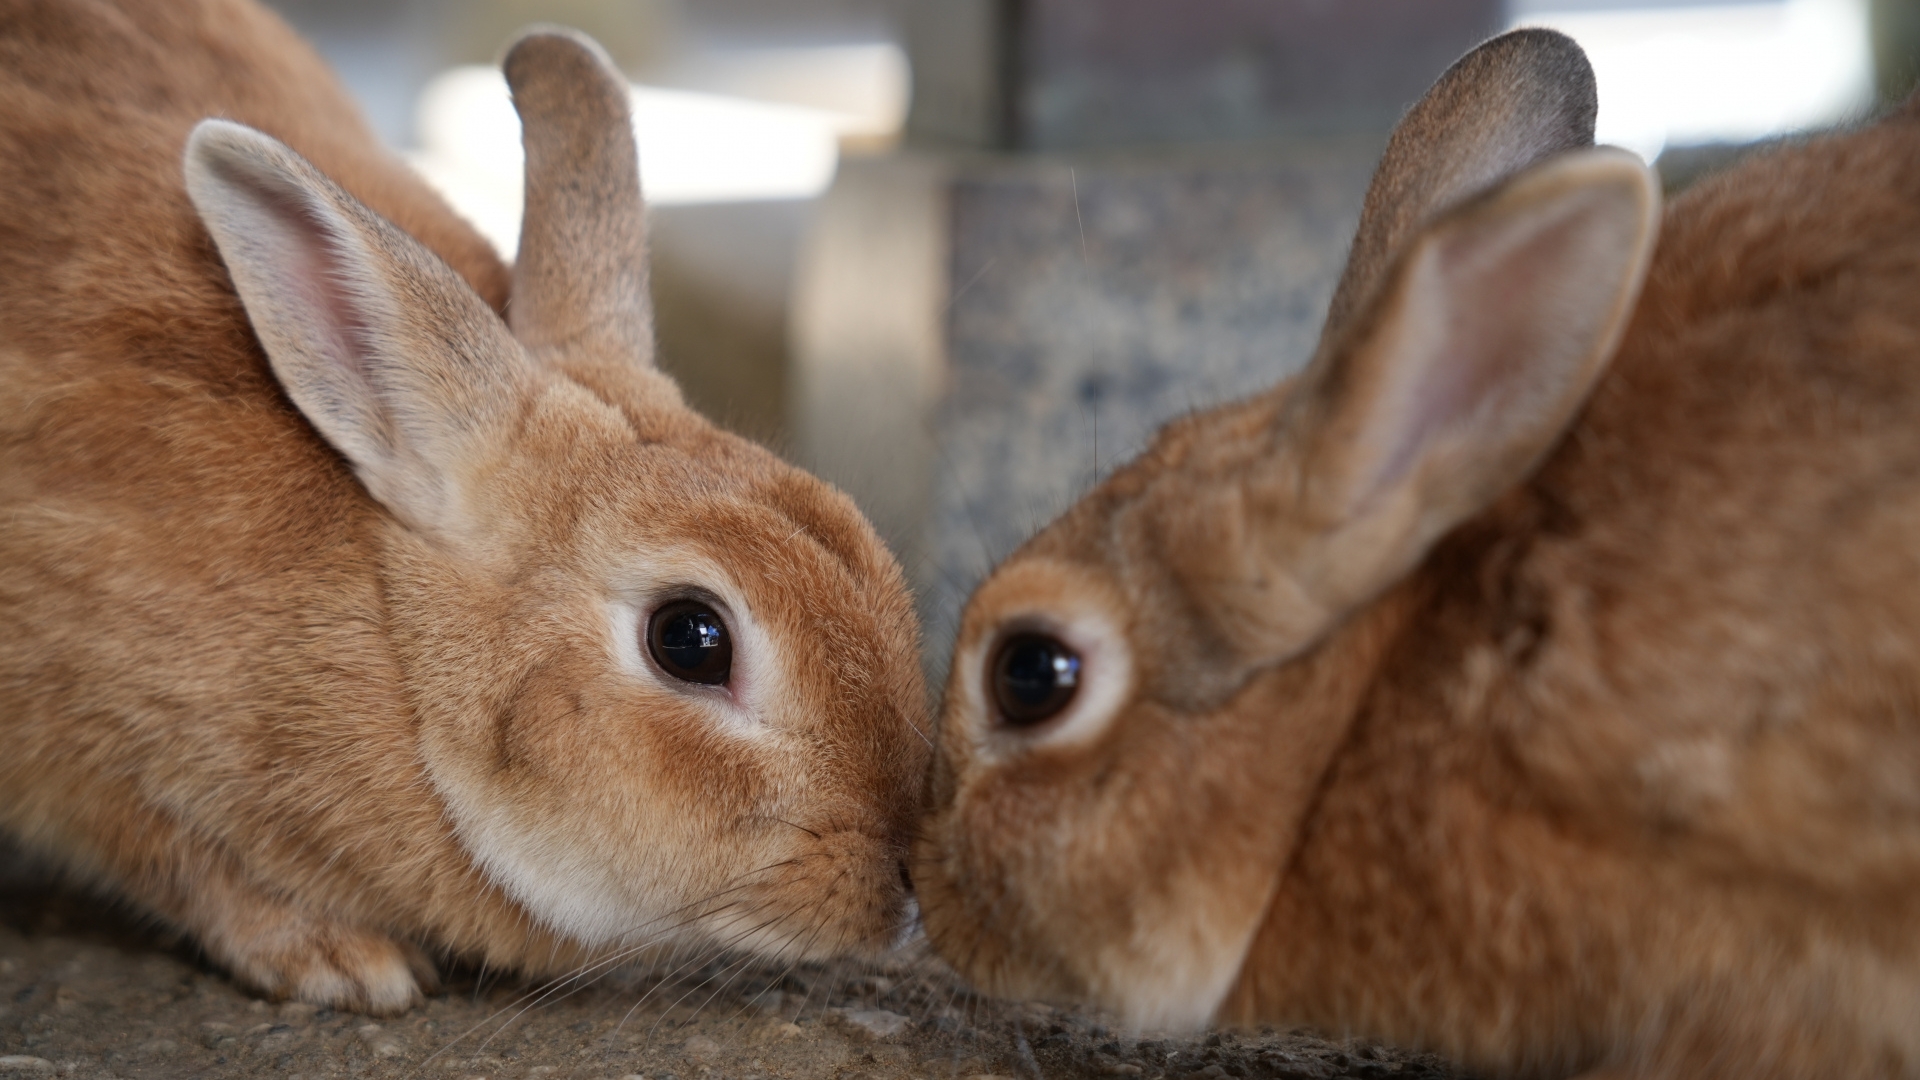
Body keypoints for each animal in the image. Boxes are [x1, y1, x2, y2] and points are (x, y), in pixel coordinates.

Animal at [0, 0, 928, 1015]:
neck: (392, 642)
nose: (911, 881)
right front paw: (344, 963)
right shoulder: (72, 732)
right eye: (690, 639)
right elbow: (175, 854)